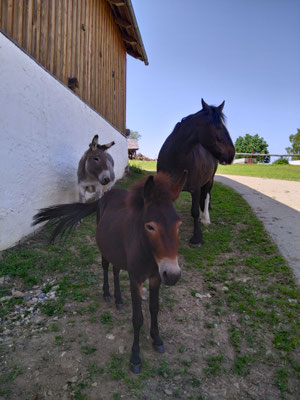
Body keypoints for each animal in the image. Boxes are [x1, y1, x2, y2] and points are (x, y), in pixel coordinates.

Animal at [34, 173, 186, 376]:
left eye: (179, 225)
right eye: (150, 227)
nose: (173, 275)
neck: (148, 252)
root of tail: (105, 196)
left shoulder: (156, 278)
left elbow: (154, 309)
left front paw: (157, 339)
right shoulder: (136, 279)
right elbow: (138, 318)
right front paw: (135, 358)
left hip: (117, 250)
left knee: (115, 270)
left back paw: (119, 299)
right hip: (104, 249)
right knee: (106, 267)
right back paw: (107, 294)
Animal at [157, 98, 234, 245]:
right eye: (218, 127)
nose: (232, 154)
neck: (176, 158)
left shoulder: (195, 188)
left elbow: (195, 211)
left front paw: (197, 237)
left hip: (210, 180)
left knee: (206, 196)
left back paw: (206, 218)